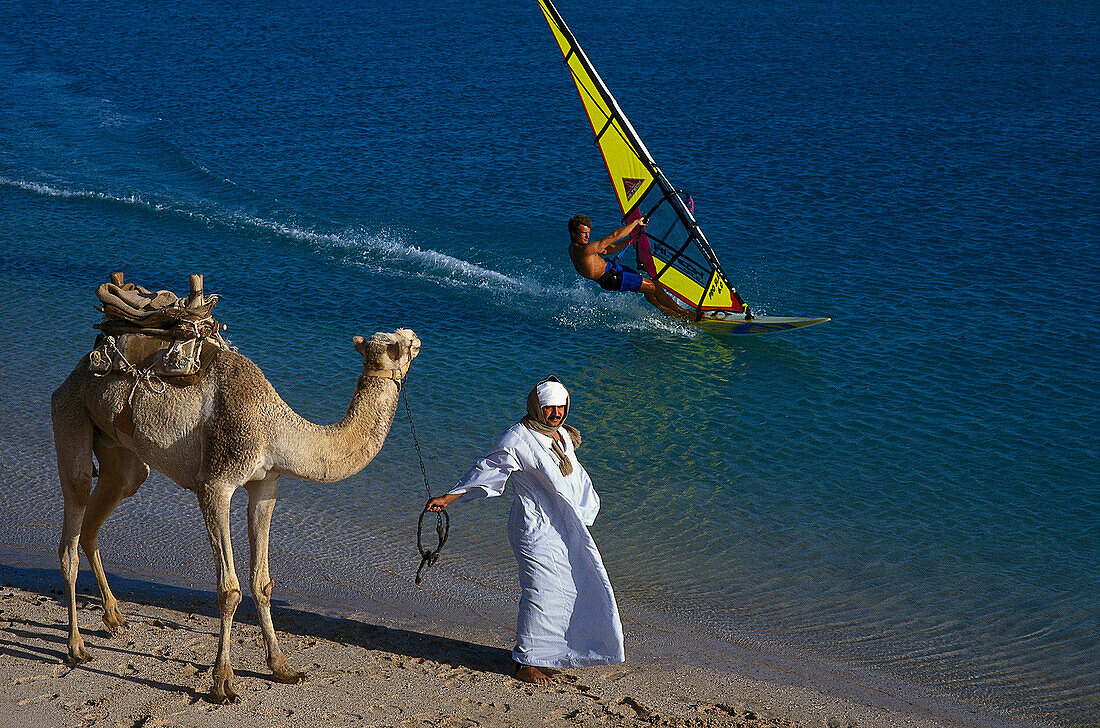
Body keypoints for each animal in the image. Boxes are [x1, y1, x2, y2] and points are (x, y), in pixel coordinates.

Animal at [50, 327, 420, 703]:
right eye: (396, 345)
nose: (415, 336)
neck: (275, 429)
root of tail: (76, 372)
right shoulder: (216, 484)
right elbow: (229, 589)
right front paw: (223, 683)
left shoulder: (266, 485)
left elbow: (262, 582)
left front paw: (282, 667)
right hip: (71, 411)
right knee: (74, 512)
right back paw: (76, 647)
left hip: (120, 452)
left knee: (101, 514)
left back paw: (114, 617)